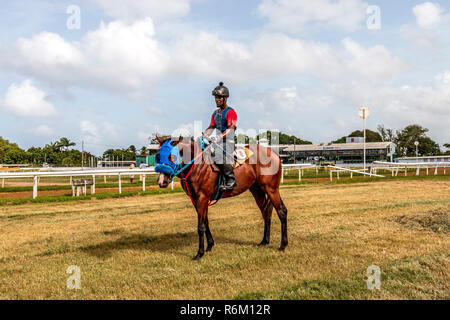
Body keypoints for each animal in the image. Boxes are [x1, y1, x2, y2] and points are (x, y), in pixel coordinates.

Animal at [155, 136, 288, 260]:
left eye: (171, 156)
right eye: (158, 156)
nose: (162, 181)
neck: (198, 165)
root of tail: (274, 154)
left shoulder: (202, 197)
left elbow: (201, 226)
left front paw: (199, 253)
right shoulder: (196, 199)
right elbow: (205, 222)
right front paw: (209, 245)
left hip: (271, 189)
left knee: (281, 211)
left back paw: (283, 245)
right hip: (257, 190)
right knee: (266, 213)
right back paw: (265, 241)